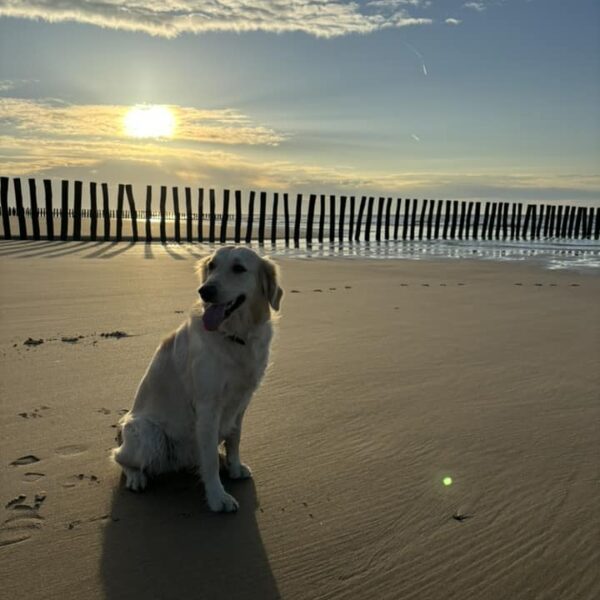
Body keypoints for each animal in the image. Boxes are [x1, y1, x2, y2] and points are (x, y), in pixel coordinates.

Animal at [112, 246, 284, 512]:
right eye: (211, 266)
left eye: (239, 268)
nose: (205, 291)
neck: (235, 336)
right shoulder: (207, 406)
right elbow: (210, 460)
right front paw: (218, 497)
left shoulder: (242, 401)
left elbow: (235, 438)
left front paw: (234, 467)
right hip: (149, 435)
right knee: (120, 457)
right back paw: (135, 477)